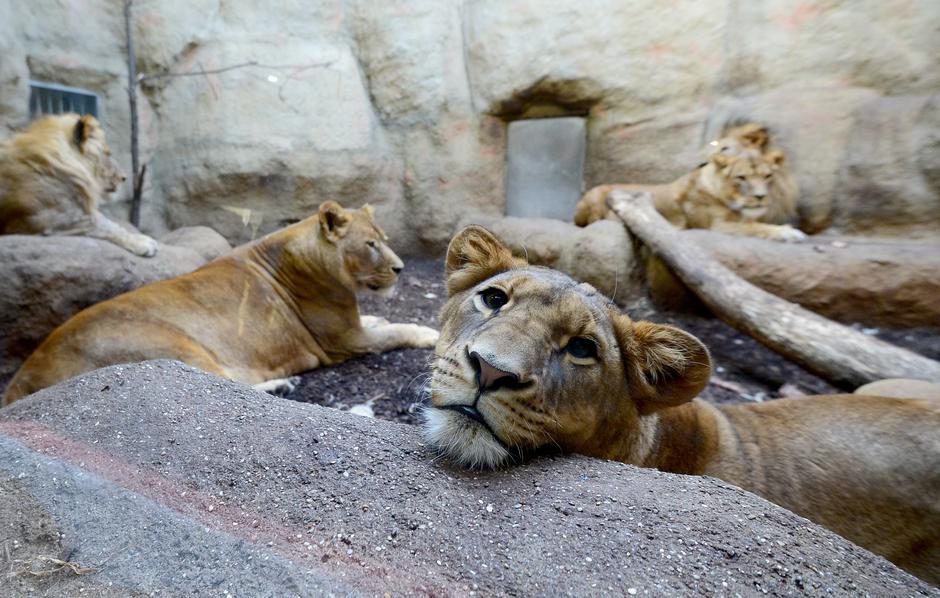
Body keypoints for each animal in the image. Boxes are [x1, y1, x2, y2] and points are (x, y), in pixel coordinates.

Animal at [0, 113, 158, 256]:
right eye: (107, 154)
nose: (124, 178)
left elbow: (109, 222)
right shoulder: (48, 220)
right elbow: (105, 226)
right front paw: (144, 242)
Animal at [2, 204, 440, 406]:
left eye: (384, 239)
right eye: (371, 244)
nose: (401, 268)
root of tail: (24, 377)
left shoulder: (353, 326)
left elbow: (379, 320)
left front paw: (382, 314)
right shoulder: (346, 341)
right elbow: (396, 331)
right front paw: (429, 333)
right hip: (173, 344)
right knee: (217, 381)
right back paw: (281, 386)